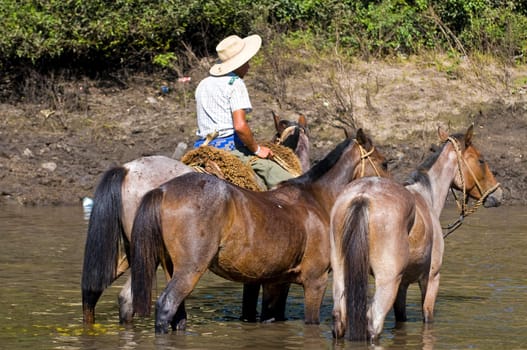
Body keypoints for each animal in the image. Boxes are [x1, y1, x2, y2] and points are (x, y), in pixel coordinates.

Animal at [130, 129, 390, 334]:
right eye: (385, 163)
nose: (390, 190)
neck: (315, 200)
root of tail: (163, 190)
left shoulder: (276, 283)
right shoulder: (315, 282)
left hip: (172, 269)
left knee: (178, 317)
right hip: (189, 270)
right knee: (166, 306)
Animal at [332, 126, 506, 342]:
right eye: (481, 160)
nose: (498, 194)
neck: (426, 196)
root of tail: (363, 195)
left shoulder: (402, 286)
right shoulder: (430, 280)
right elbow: (427, 318)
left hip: (341, 278)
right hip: (387, 283)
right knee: (374, 323)